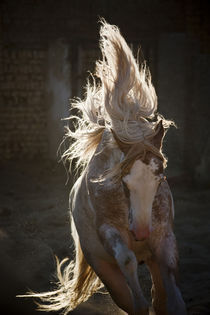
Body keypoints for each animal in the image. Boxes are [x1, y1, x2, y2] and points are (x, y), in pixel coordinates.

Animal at [23, 20, 187, 315]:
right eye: (124, 182)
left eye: (160, 179)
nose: (141, 233)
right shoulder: (111, 234)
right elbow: (128, 264)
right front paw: (140, 302)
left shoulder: (163, 238)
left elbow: (172, 291)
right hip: (102, 266)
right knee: (124, 292)